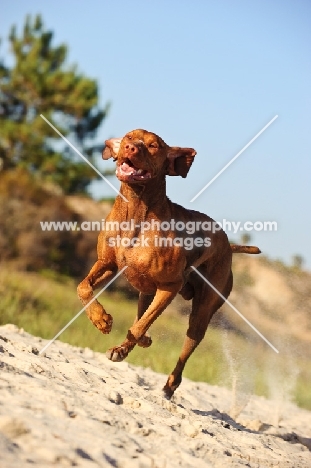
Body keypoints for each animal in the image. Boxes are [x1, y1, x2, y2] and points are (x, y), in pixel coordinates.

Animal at [77, 128, 260, 398]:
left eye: (153, 146)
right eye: (129, 137)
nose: (130, 148)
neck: (136, 207)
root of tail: (228, 245)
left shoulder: (169, 286)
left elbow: (140, 326)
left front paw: (124, 336)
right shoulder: (107, 264)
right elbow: (83, 288)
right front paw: (101, 319)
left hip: (201, 313)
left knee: (184, 344)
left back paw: (170, 383)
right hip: (146, 292)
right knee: (141, 316)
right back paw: (130, 346)